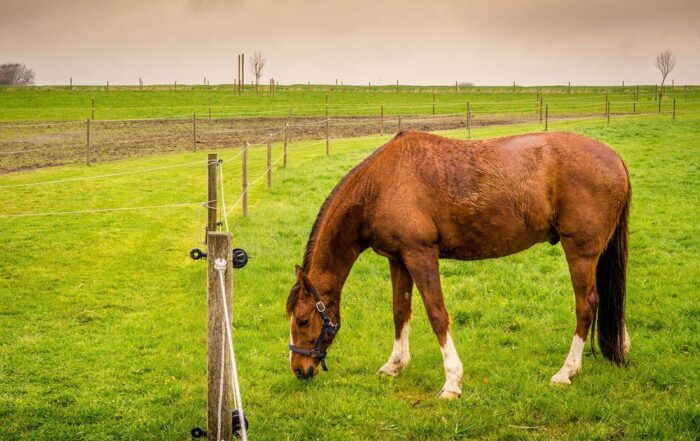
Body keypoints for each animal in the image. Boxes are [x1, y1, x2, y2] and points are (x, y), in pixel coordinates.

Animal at [287, 130, 630, 399]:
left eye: (302, 321)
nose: (299, 369)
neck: (381, 184)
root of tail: (616, 159)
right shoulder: (399, 260)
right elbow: (400, 311)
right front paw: (394, 366)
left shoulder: (421, 255)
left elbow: (437, 315)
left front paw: (452, 381)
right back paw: (620, 347)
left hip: (580, 252)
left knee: (586, 306)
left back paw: (566, 371)